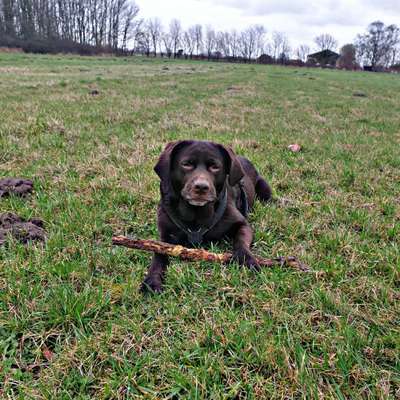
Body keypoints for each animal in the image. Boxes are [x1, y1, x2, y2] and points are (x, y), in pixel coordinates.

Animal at [141, 139, 272, 292]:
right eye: (187, 164)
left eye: (215, 167)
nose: (201, 187)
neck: (196, 215)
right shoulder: (164, 236)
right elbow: (159, 254)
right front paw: (152, 280)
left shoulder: (242, 224)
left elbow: (240, 241)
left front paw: (246, 260)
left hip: (265, 189)